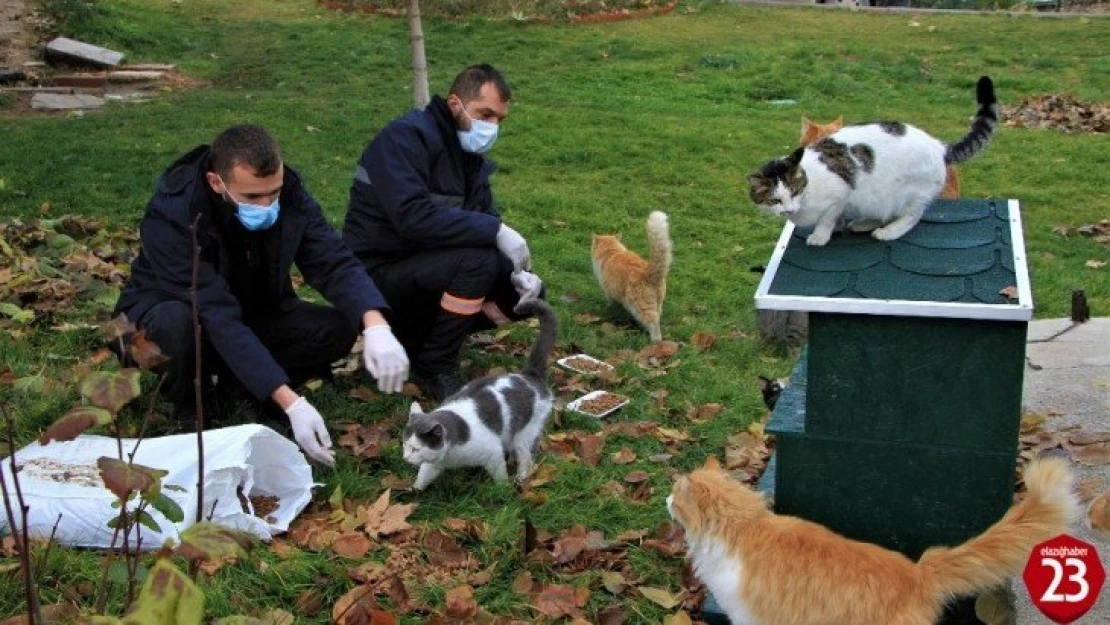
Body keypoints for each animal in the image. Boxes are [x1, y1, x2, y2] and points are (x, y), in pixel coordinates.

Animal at [401, 299, 559, 490]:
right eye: (404, 444)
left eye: (416, 449)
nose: (405, 457)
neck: (451, 457)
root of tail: (529, 375)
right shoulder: (433, 464)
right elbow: (423, 476)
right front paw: (413, 490)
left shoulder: (493, 452)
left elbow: (499, 475)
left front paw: (502, 490)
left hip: (525, 433)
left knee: (527, 458)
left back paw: (521, 478)